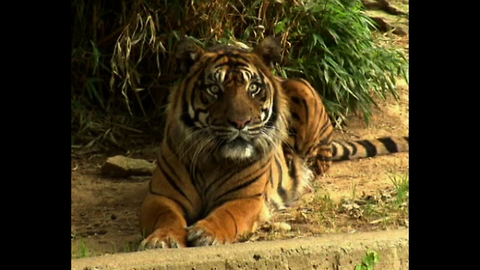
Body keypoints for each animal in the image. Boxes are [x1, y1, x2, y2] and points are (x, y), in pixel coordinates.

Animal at [138, 37, 408, 250]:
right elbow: (166, 217)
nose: (240, 122)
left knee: (321, 159)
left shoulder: (246, 198)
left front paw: (206, 232)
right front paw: (162, 239)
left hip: (302, 89)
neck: (212, 160)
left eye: (253, 88)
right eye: (214, 89)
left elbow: (227, 214)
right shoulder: (161, 196)